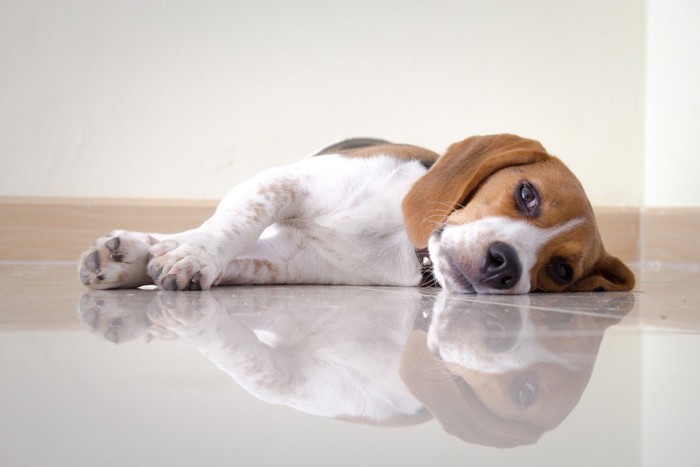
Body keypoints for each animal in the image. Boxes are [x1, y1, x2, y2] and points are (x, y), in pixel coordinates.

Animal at [78, 133, 636, 294]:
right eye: (526, 195)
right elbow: (234, 224)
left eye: (560, 271)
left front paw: (182, 261)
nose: (506, 265)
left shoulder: (289, 261)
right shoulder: (285, 183)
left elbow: (239, 256)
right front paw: (192, 257)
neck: (397, 236)